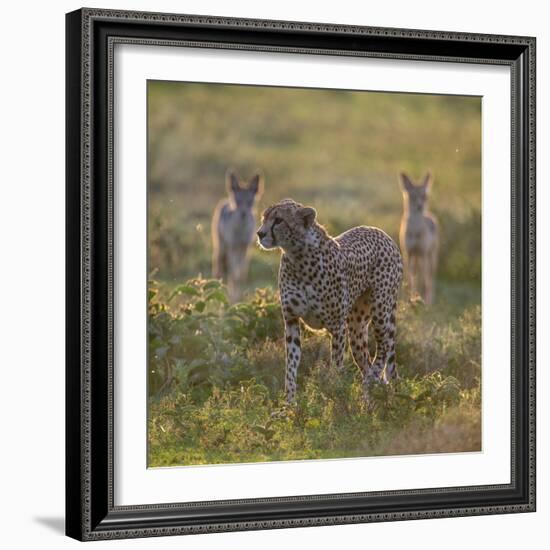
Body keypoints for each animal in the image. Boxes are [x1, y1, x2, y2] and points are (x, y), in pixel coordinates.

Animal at [212, 170, 264, 304]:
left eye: (250, 202)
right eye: (238, 201)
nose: (243, 214)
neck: (241, 231)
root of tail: (225, 201)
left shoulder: (245, 248)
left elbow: (241, 275)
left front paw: (239, 298)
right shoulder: (233, 248)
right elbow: (234, 275)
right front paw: (233, 299)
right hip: (222, 248)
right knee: (221, 269)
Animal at [258, 199, 406, 406]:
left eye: (279, 220)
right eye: (264, 218)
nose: (260, 233)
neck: (298, 256)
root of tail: (381, 233)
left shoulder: (337, 327)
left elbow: (336, 366)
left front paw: (334, 395)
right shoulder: (292, 321)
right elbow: (291, 367)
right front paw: (289, 404)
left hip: (381, 312)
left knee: (383, 349)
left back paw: (370, 384)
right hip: (356, 328)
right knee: (366, 361)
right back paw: (369, 398)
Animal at [402, 171, 440, 304]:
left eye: (425, 197)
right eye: (413, 196)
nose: (420, 206)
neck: (415, 231)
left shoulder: (422, 252)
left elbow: (423, 280)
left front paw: (422, 300)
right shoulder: (408, 253)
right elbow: (409, 279)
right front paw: (409, 299)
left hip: (430, 257)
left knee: (429, 278)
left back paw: (429, 300)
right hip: (416, 257)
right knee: (416, 275)